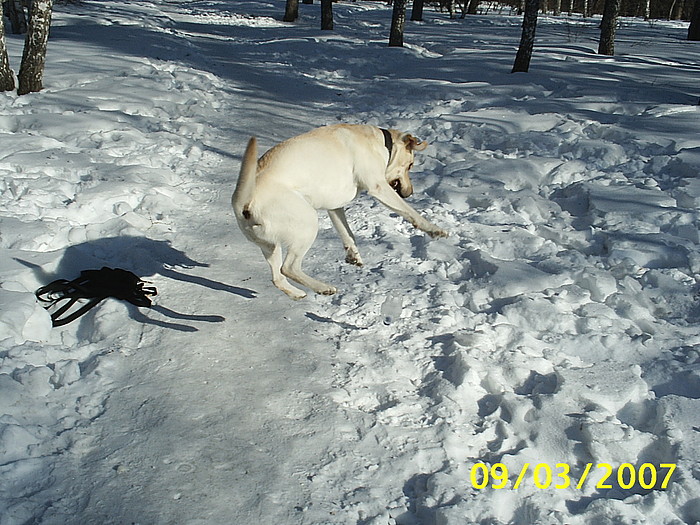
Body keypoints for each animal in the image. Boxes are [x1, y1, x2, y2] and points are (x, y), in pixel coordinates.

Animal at [232, 124, 446, 298]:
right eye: (410, 165)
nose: (409, 193)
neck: (382, 144)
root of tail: (244, 202)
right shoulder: (378, 187)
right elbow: (410, 212)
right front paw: (434, 229)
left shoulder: (335, 207)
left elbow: (347, 233)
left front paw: (354, 255)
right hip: (307, 224)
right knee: (288, 267)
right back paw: (323, 288)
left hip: (269, 245)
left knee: (277, 277)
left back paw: (297, 293)